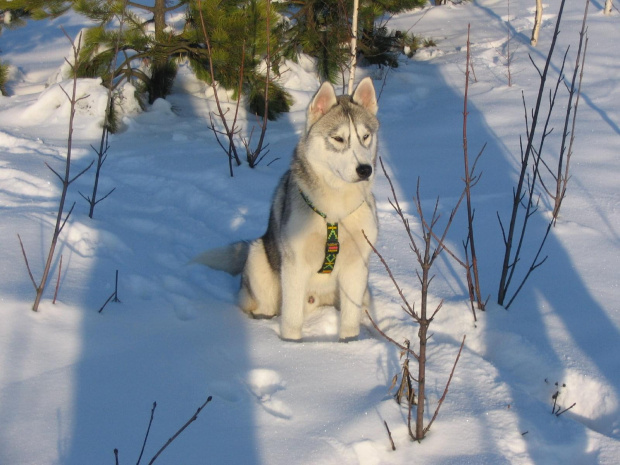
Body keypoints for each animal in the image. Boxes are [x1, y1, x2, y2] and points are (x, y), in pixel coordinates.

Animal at [199, 77, 380, 340]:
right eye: (338, 139)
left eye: (366, 136)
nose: (365, 169)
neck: (334, 213)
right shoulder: (295, 264)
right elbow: (292, 319)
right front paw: (290, 345)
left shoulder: (356, 266)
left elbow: (349, 321)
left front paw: (350, 342)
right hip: (258, 257)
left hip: (363, 291)